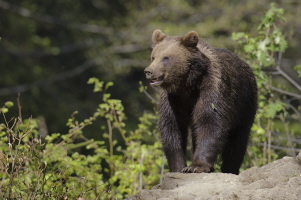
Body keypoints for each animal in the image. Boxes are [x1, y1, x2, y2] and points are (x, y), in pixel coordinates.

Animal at [144, 29, 256, 175]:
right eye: (153, 57)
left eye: (166, 58)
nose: (149, 71)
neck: (187, 85)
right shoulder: (172, 99)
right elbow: (172, 127)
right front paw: (178, 167)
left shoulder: (211, 88)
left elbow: (210, 122)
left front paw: (196, 166)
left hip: (244, 103)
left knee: (237, 140)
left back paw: (230, 169)